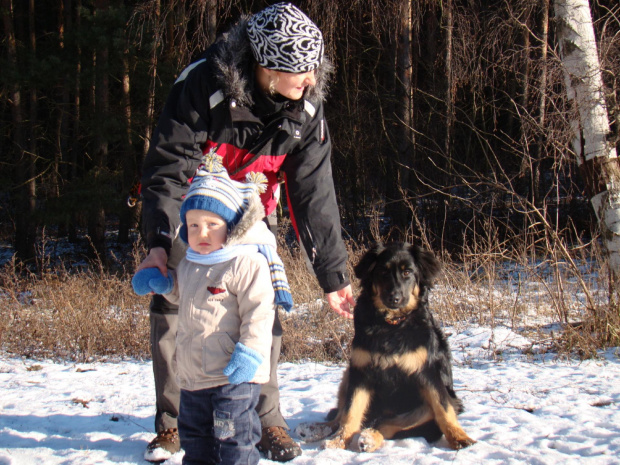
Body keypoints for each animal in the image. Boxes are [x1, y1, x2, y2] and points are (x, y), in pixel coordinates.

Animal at [302, 241, 478, 452]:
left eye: (407, 272)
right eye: (382, 272)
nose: (394, 297)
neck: (391, 325)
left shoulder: (428, 373)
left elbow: (443, 409)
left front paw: (460, 437)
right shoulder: (361, 372)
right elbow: (350, 412)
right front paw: (339, 441)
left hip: (437, 403)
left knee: (386, 423)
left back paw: (369, 438)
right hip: (348, 374)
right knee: (342, 416)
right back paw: (314, 430)